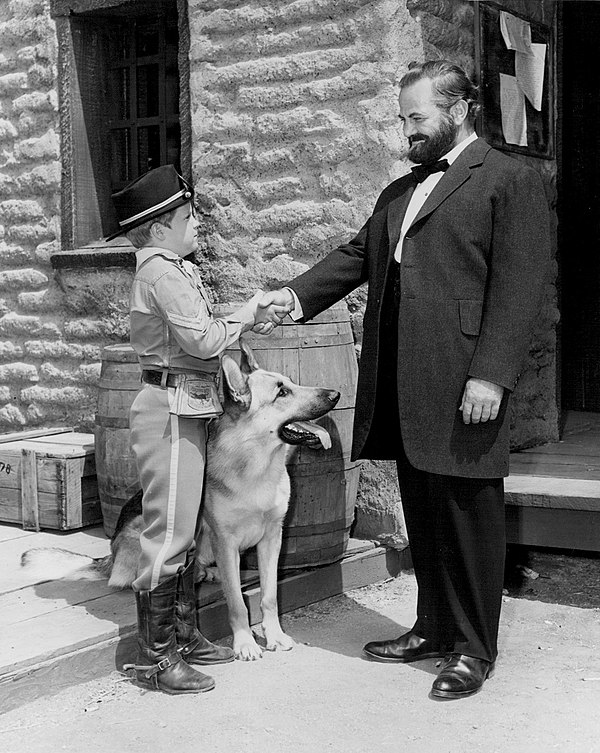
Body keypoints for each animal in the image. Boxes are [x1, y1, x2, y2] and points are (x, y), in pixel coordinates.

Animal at [21, 340, 340, 656]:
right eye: (282, 392)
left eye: (292, 382)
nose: (336, 394)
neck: (256, 466)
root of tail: (109, 556)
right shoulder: (226, 542)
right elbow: (237, 601)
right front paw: (245, 642)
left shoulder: (273, 539)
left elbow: (270, 595)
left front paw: (274, 634)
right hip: (157, 529)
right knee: (139, 576)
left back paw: (205, 573)